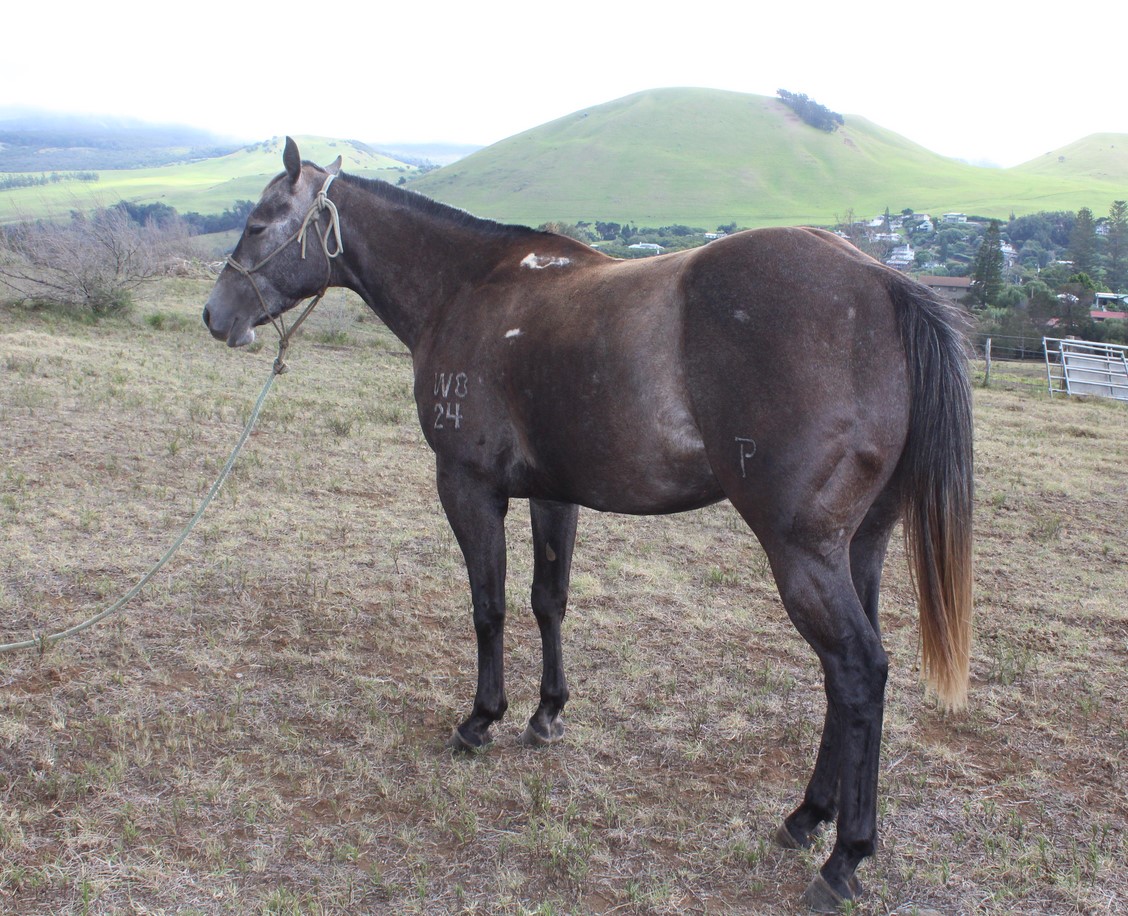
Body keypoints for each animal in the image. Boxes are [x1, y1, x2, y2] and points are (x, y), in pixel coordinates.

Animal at [203, 138, 973, 911]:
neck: (471, 287)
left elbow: (489, 606)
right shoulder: (553, 495)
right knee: (847, 678)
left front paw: (482, 719)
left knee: (857, 670)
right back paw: (808, 817)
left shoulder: (468, 488)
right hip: (858, 548)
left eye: (260, 222)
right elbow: (549, 601)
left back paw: (844, 857)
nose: (215, 314)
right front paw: (547, 713)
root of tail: (881, 283)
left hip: (802, 553)